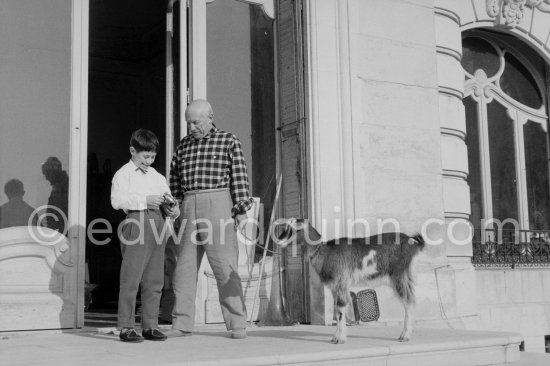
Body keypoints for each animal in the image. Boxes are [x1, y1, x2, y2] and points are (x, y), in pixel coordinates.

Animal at [276, 219, 426, 344]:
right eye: (285, 228)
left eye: (293, 229)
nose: (278, 241)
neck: (326, 252)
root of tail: (412, 242)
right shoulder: (334, 287)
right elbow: (337, 309)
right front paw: (336, 337)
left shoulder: (341, 282)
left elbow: (341, 308)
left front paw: (339, 339)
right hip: (406, 276)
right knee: (411, 300)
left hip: (399, 275)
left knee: (409, 301)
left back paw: (404, 336)